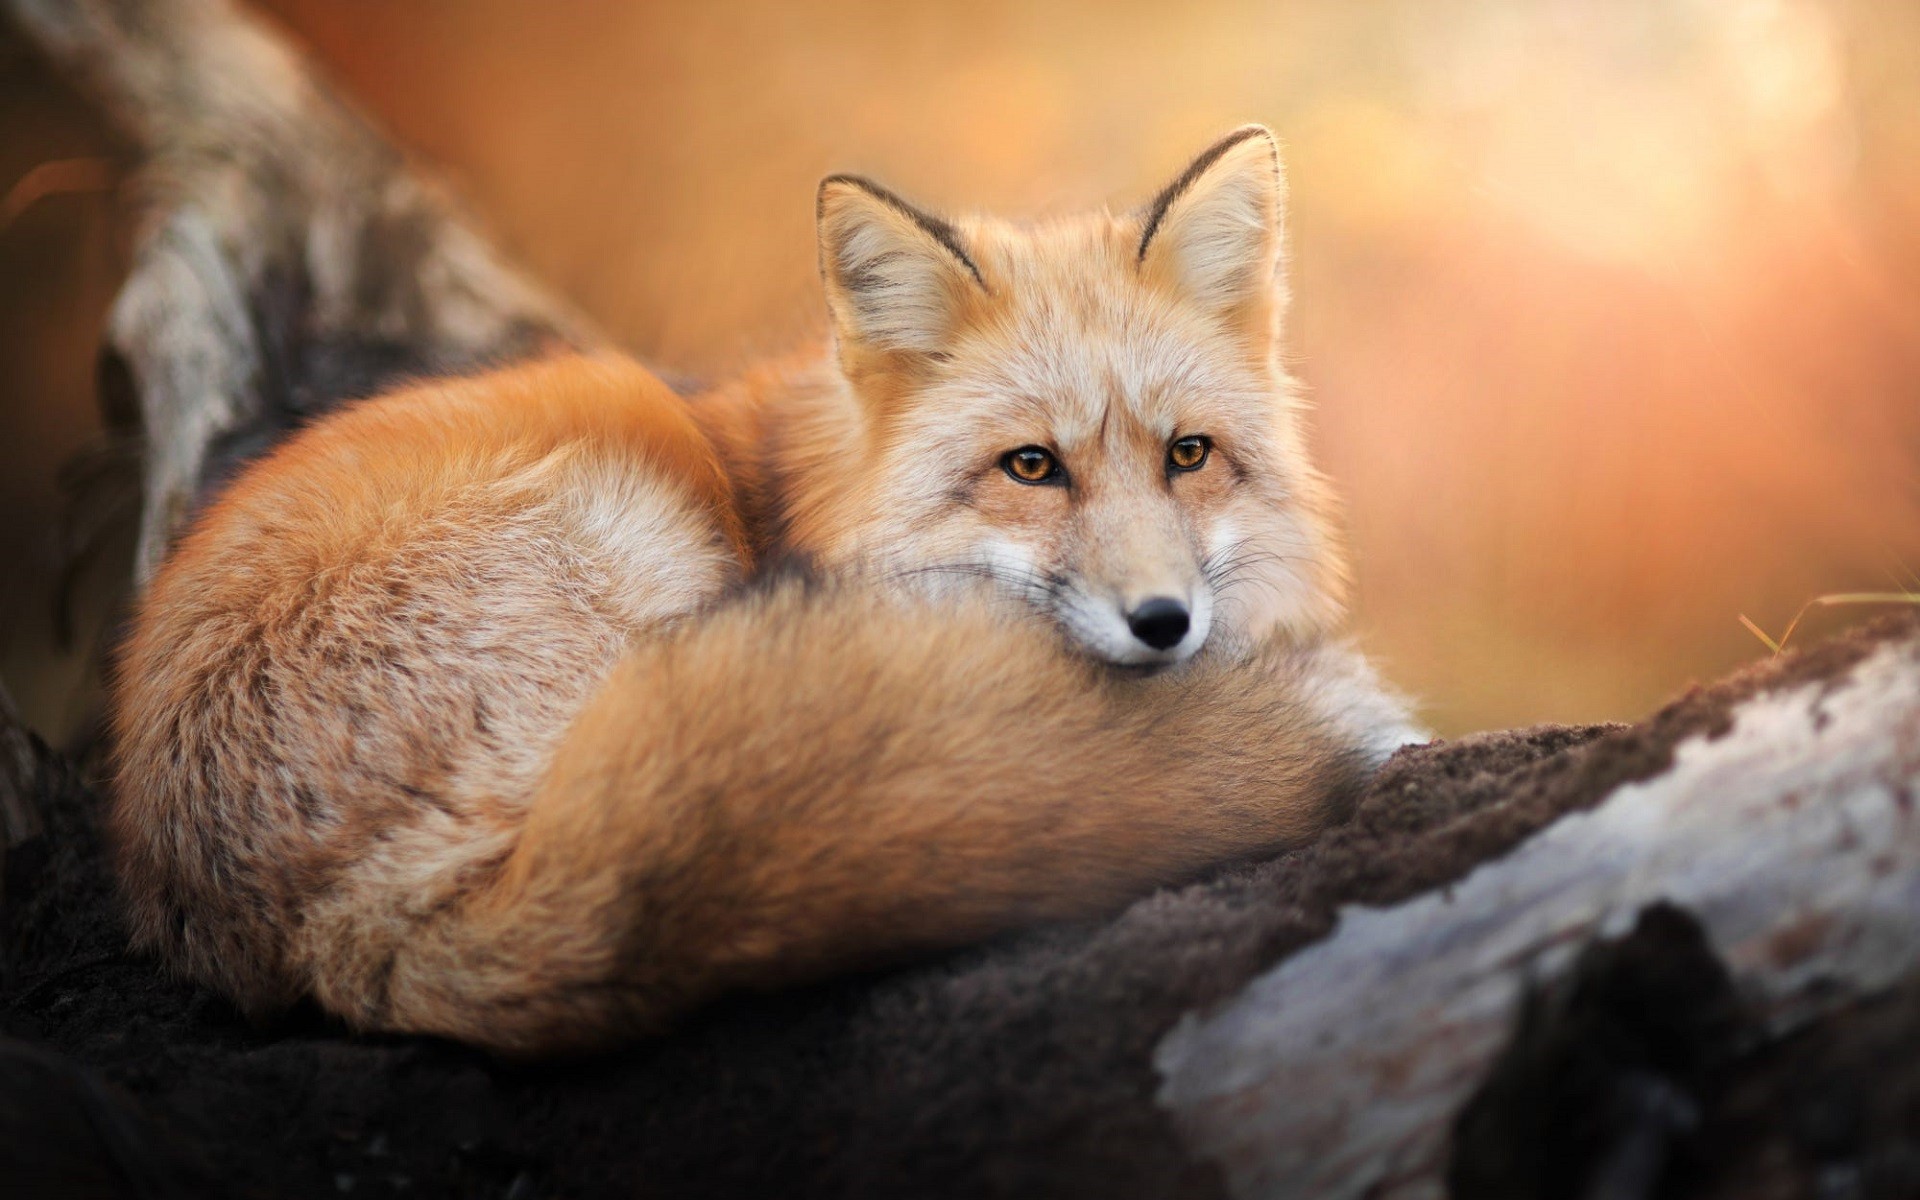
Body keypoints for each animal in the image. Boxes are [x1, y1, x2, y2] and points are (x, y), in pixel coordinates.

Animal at [108, 126, 1428, 1052]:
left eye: (1188, 455)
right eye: (1031, 468)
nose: (1165, 624)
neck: (803, 493)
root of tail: (338, 928)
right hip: (634, 524)